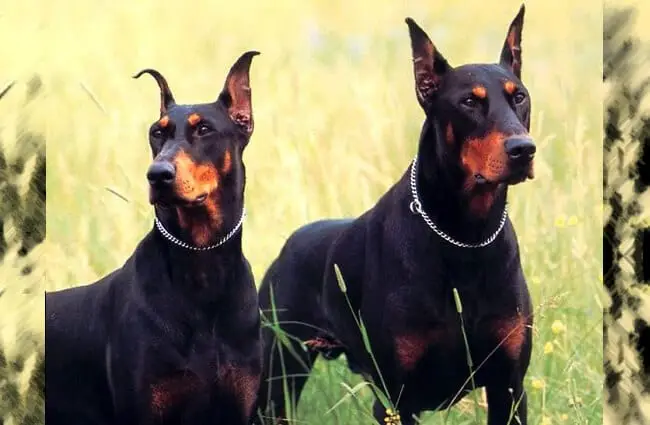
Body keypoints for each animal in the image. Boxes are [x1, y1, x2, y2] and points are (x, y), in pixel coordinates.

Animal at [44, 51, 262, 422]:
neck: (201, 265)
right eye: (156, 133)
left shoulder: (237, 406)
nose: (158, 174)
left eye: (204, 129)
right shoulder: (144, 408)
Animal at [256, 6, 536, 424]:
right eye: (469, 102)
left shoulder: (510, 387)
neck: (465, 235)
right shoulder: (397, 399)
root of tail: (289, 246)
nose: (524, 149)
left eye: (519, 96)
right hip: (277, 373)